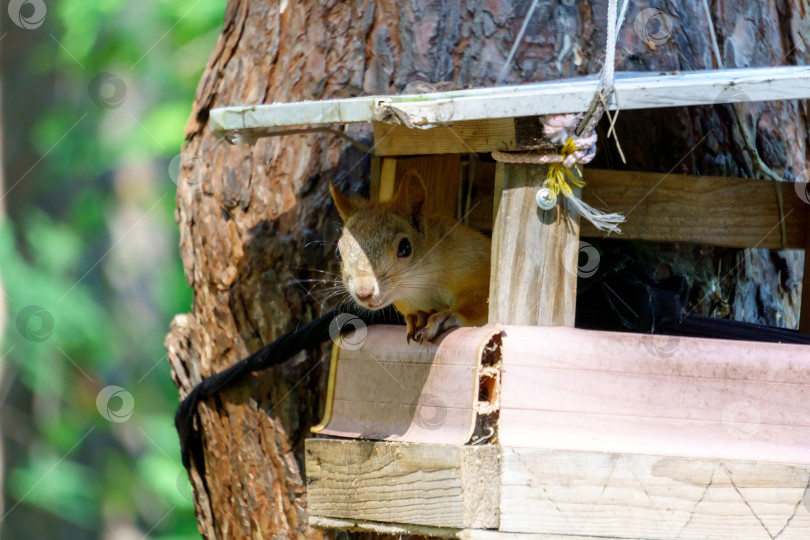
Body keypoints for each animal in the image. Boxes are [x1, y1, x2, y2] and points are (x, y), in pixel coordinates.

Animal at [326, 171, 490, 344]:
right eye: (338, 252)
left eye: (405, 247)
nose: (364, 292)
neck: (420, 286)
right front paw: (418, 317)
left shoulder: (474, 267)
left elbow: (481, 304)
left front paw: (447, 316)